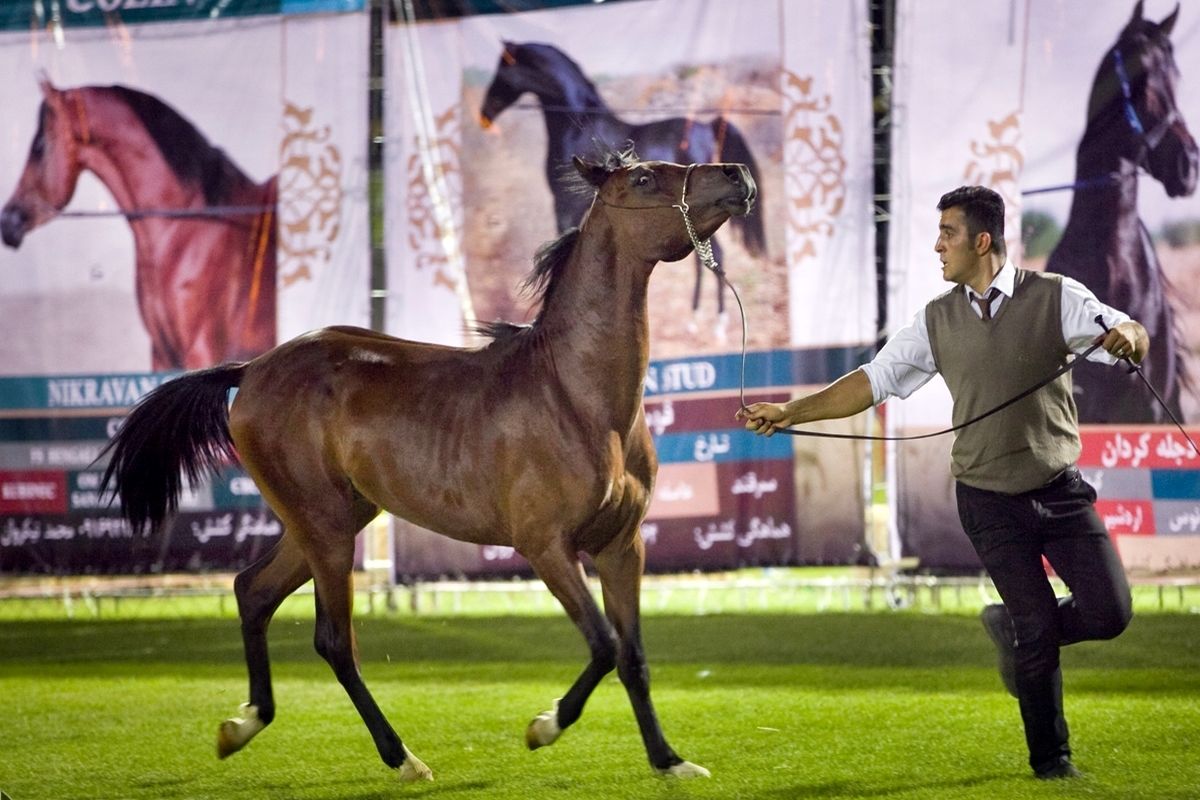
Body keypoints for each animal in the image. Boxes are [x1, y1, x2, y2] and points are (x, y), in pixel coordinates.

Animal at [103, 149, 758, 782]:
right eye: (644, 178)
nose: (737, 175)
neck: (577, 395)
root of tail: (252, 368)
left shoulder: (621, 547)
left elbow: (633, 656)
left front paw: (670, 761)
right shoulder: (546, 546)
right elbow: (602, 645)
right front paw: (543, 726)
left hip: (332, 520)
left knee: (252, 592)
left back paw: (242, 725)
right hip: (326, 529)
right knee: (334, 641)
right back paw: (402, 757)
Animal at [475, 40, 763, 338]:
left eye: (503, 67)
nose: (484, 114)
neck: (579, 127)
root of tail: (708, 126)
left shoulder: (565, 206)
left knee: (715, 256)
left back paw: (715, 324)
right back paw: (696, 319)